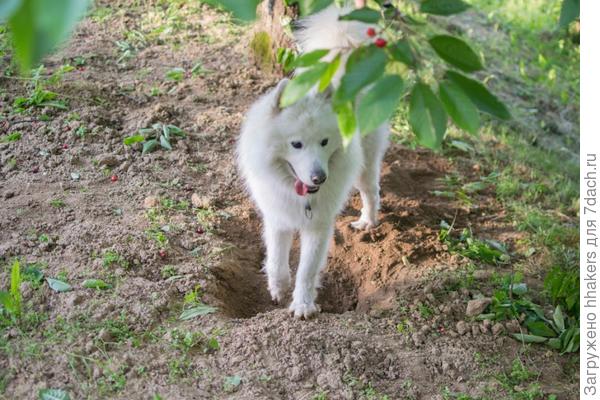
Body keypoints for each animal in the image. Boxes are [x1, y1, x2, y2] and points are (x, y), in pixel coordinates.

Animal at [236, 4, 390, 318]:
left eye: (325, 142)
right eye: (296, 144)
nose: (320, 177)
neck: (301, 197)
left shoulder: (318, 226)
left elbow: (306, 271)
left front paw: (303, 305)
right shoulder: (277, 217)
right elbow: (276, 259)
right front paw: (278, 288)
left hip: (366, 162)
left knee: (371, 190)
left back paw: (367, 222)